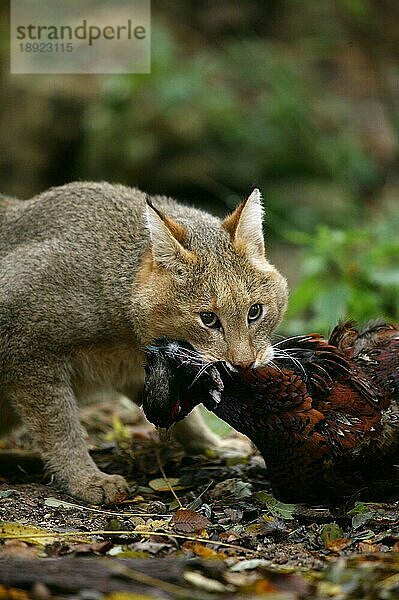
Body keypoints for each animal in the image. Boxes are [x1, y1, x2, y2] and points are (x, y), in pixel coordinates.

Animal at [0, 182, 290, 502]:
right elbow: (59, 425)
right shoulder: (29, 353)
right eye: (208, 318)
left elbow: (182, 414)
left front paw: (211, 444)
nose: (244, 363)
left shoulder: (141, 372)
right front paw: (85, 478)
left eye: (255, 311)